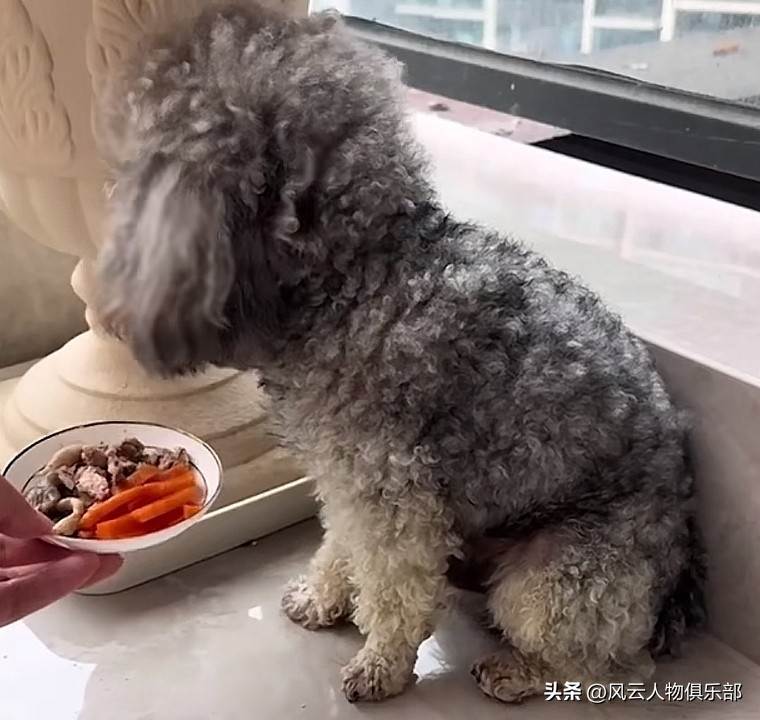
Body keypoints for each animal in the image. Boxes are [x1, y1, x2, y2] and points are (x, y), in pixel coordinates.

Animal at [95, 2, 705, 704]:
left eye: (167, 149)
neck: (356, 276)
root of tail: (674, 588)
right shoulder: (346, 479)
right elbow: (342, 544)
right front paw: (324, 598)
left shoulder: (392, 490)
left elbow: (395, 587)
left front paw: (381, 663)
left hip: (558, 578)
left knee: (608, 664)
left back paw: (518, 670)